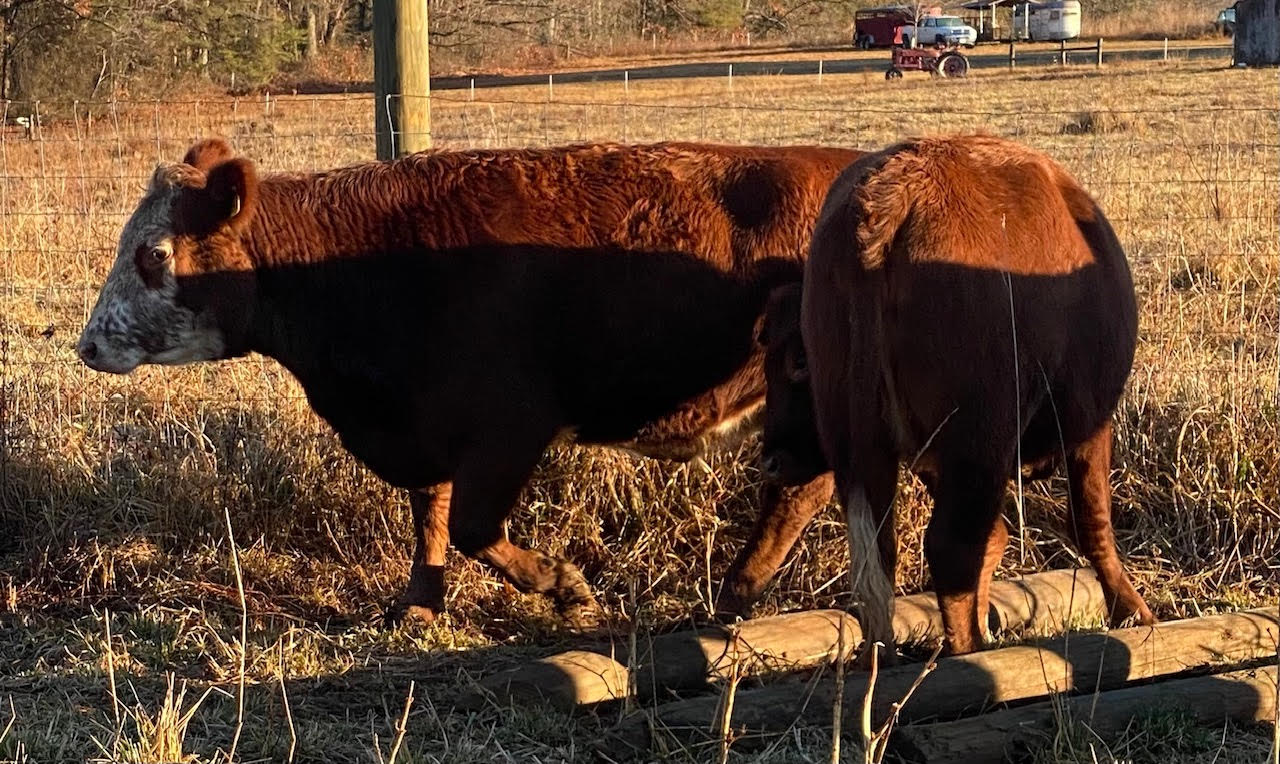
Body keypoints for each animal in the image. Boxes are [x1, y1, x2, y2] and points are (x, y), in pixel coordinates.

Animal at [76, 138, 862, 628]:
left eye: (154, 253)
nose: (88, 345)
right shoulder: (422, 427)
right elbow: (430, 513)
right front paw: (420, 601)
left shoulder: (508, 427)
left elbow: (472, 526)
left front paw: (566, 589)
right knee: (801, 488)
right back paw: (739, 592)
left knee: (800, 488)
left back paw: (736, 592)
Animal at [755, 134, 1155, 658]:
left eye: (796, 362)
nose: (772, 459)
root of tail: (887, 203)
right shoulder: (1085, 422)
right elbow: (1091, 523)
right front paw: (1133, 612)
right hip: (980, 437)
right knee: (951, 548)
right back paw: (970, 653)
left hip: (866, 453)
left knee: (879, 560)